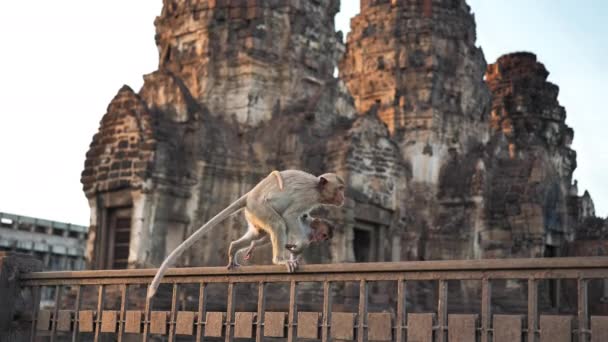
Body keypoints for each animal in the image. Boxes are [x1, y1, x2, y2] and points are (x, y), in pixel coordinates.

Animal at [147, 170, 344, 298]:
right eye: (340, 188)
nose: (343, 197)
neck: (317, 188)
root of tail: (249, 195)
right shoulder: (307, 197)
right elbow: (291, 216)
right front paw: (298, 248)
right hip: (260, 207)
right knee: (279, 223)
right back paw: (278, 260)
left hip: (254, 214)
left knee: (258, 234)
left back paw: (234, 248)